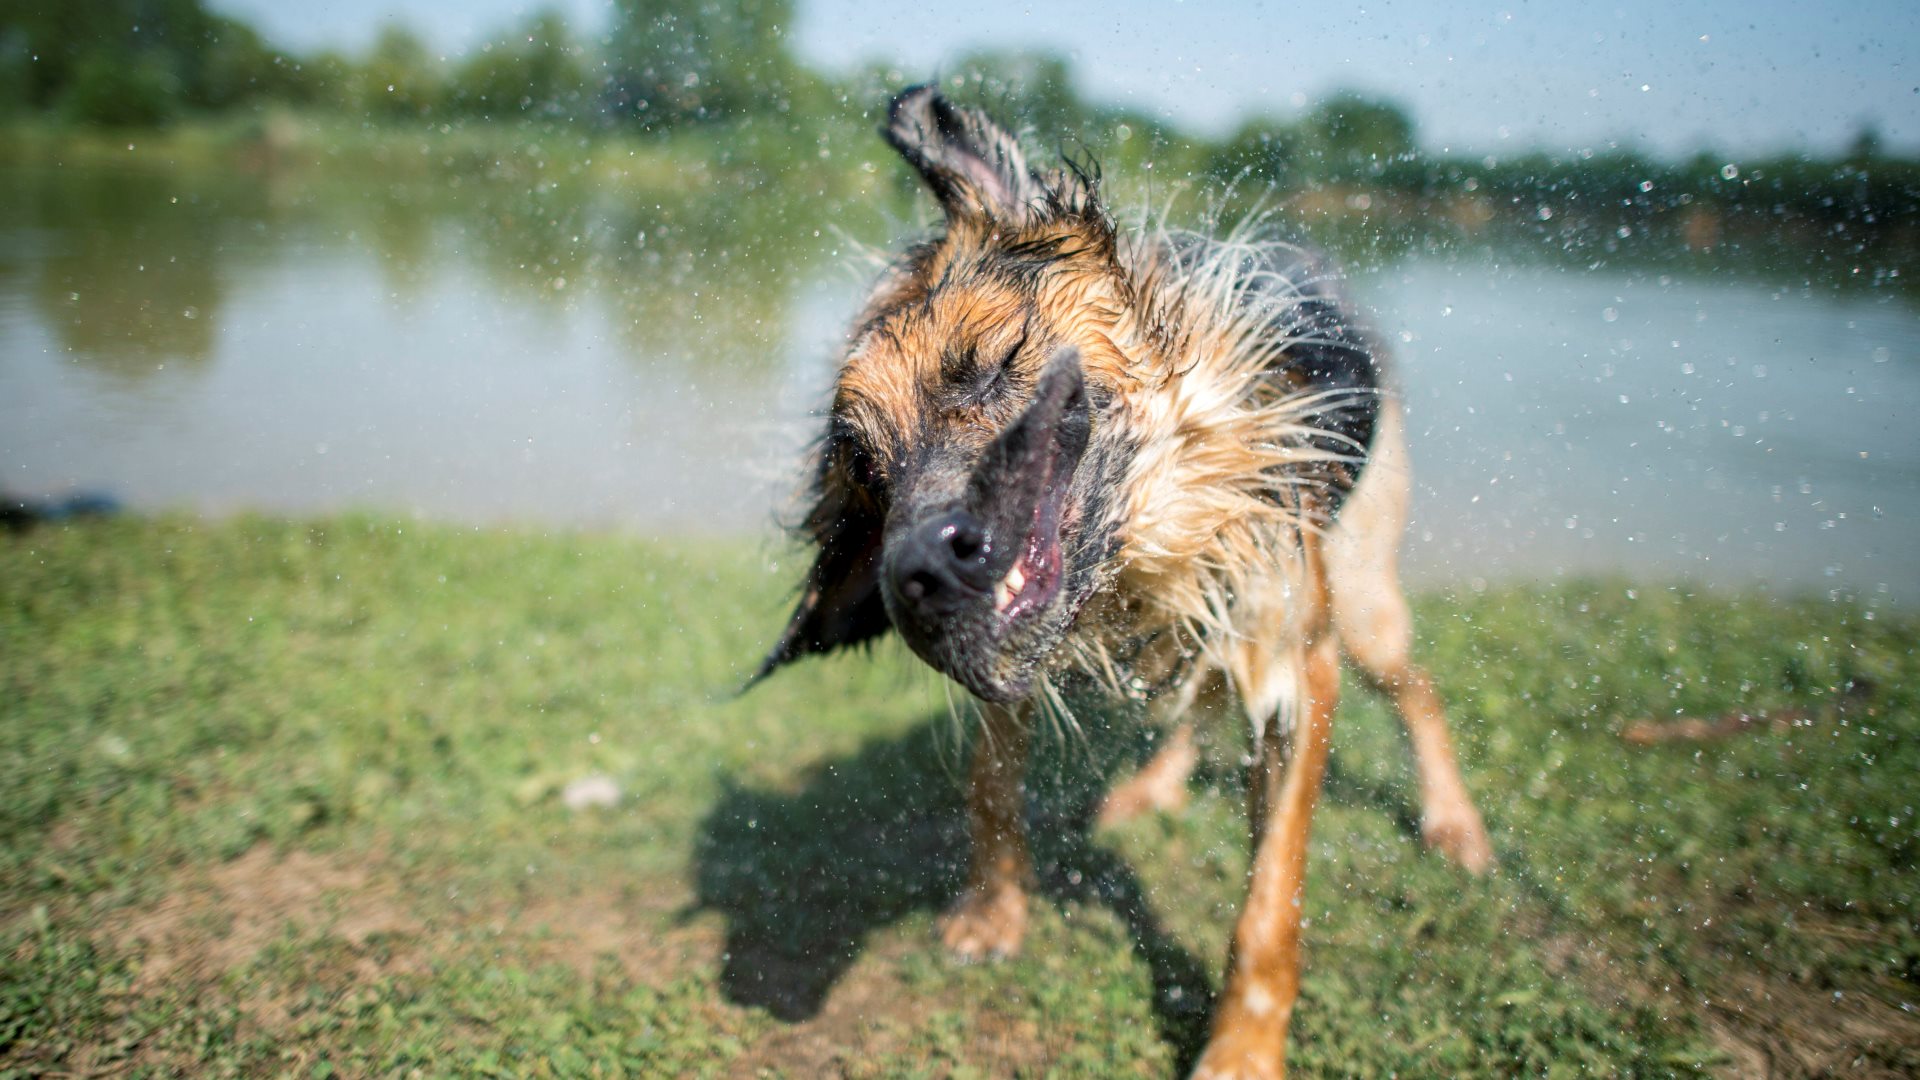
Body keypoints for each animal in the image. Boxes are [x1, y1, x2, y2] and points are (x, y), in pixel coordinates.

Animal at [756, 85, 1489, 1076]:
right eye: (867, 467)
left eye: (992, 364)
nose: (917, 577)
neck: (1143, 549)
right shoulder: (1026, 661)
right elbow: (992, 787)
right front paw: (993, 913)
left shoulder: (1295, 660)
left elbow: (1271, 902)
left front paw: (1242, 1050)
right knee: (1203, 696)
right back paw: (1153, 786)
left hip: (1365, 602)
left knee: (1418, 690)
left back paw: (1455, 822)